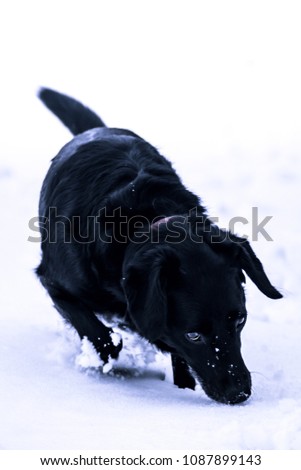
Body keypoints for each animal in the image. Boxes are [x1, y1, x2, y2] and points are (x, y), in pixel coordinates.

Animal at [36, 88, 280, 404]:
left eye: (240, 321)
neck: (141, 223)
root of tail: (96, 130)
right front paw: (118, 364)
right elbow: (100, 336)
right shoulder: (54, 283)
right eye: (194, 335)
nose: (238, 393)